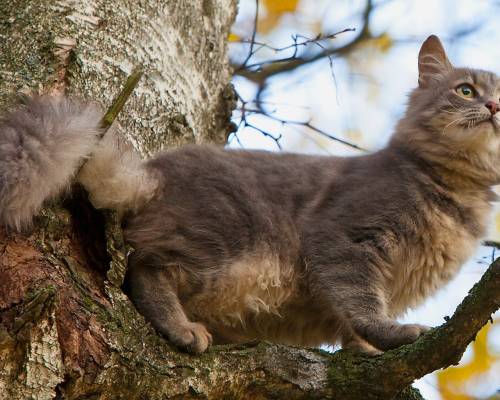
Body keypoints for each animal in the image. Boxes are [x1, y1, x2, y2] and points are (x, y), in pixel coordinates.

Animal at [0, 35, 498, 354]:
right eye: (466, 90)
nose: (493, 106)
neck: (460, 193)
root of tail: (152, 171)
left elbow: (352, 325)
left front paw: (366, 349)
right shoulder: (346, 239)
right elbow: (361, 306)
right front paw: (392, 336)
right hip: (225, 244)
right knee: (144, 271)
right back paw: (184, 330)